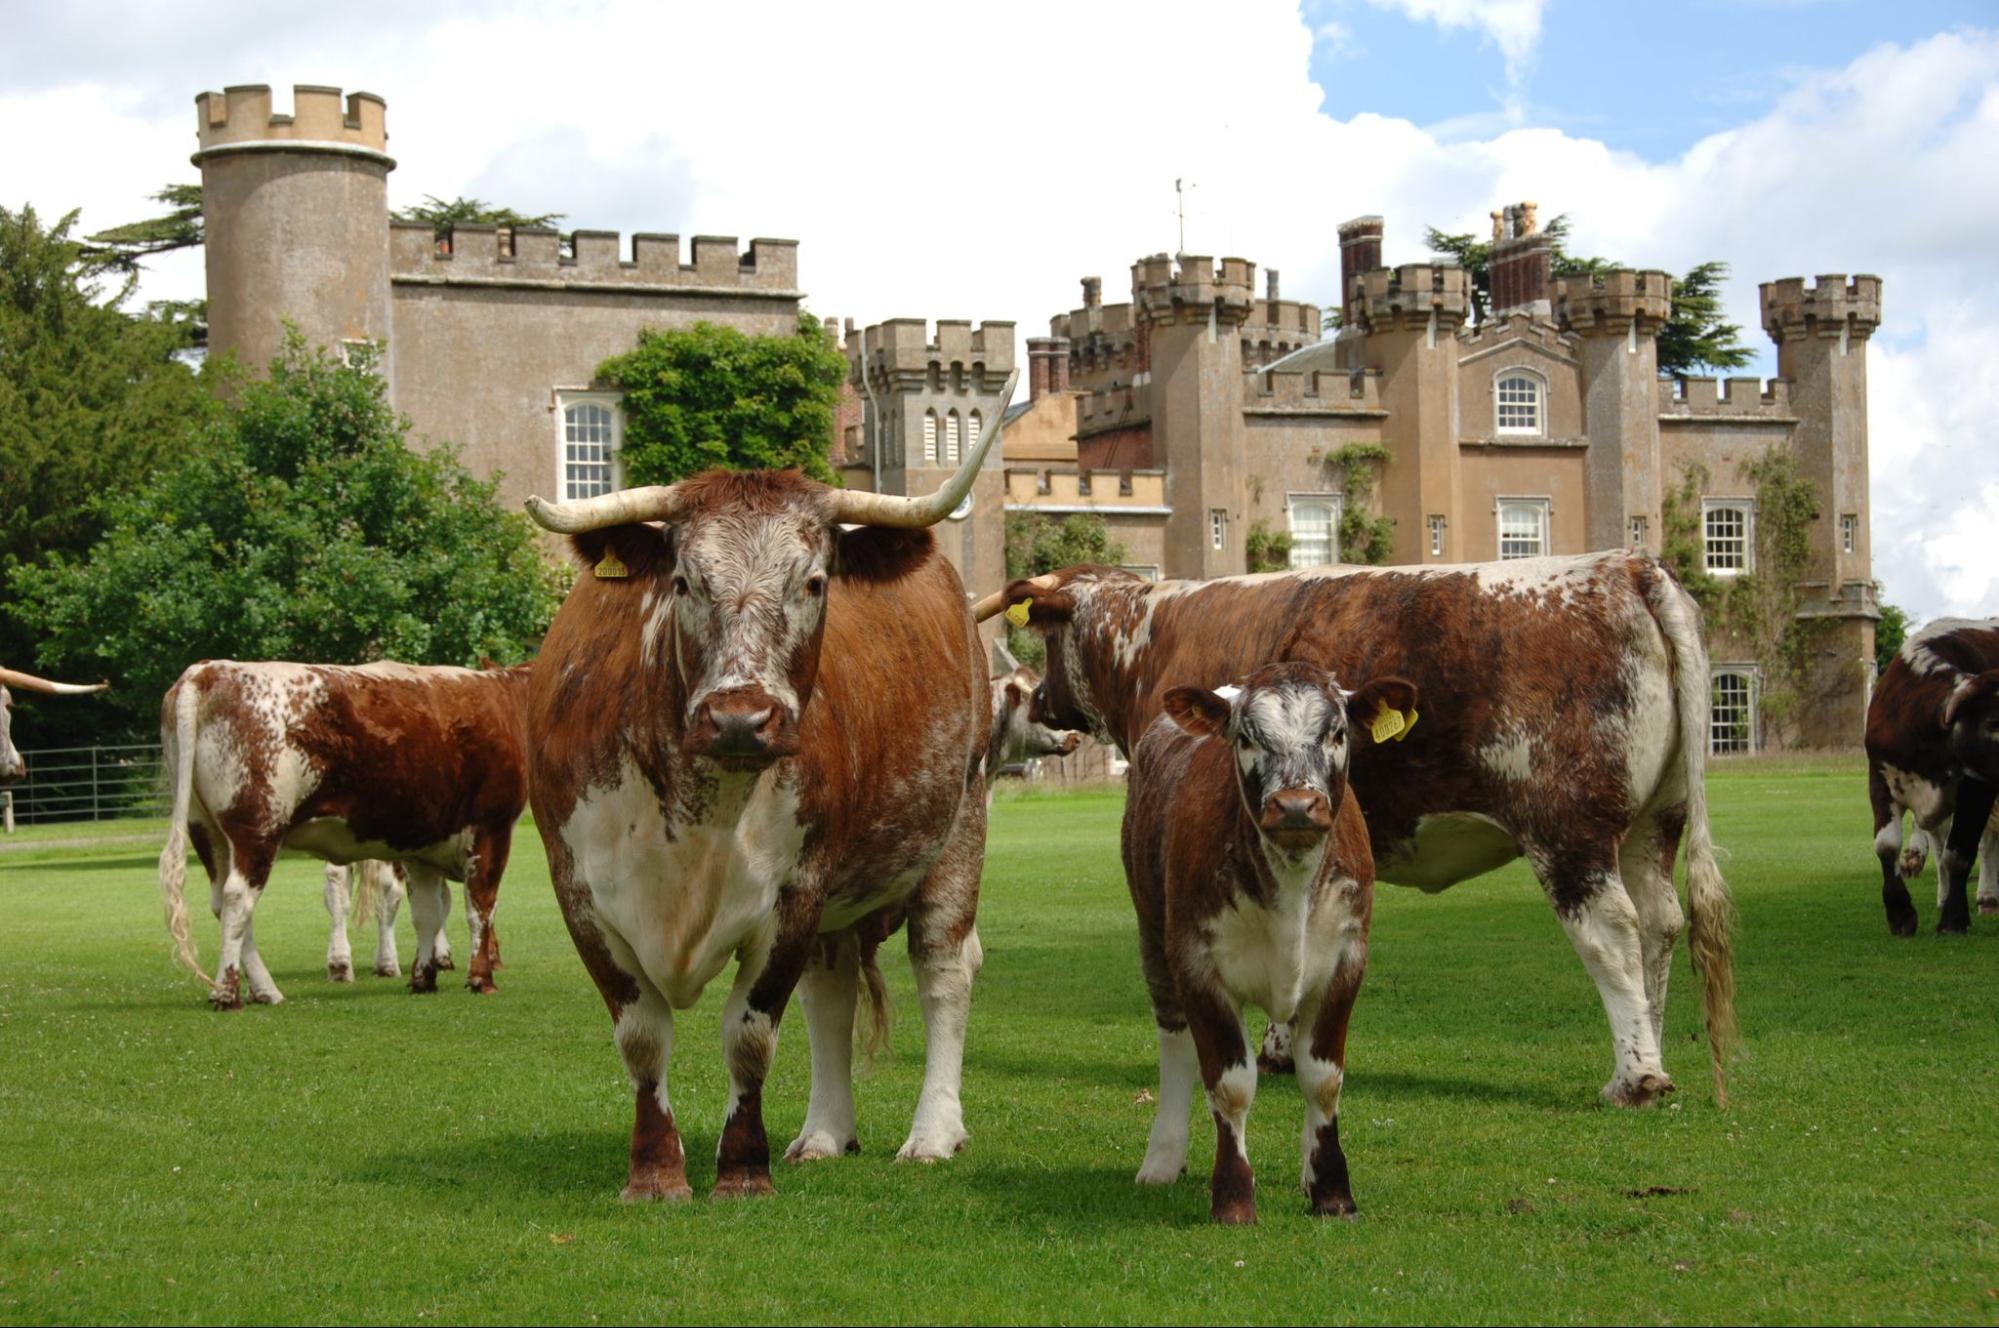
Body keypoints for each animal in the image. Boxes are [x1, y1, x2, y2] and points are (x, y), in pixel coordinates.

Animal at [156, 659, 533, 1008]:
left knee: (224, 903)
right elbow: (481, 906)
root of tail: (209, 670)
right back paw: (228, 993)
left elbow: (427, 912)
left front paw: (424, 978)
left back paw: (263, 990)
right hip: (257, 828)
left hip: (207, 831)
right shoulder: (491, 829)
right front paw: (481, 977)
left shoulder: (422, 847)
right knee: (238, 900)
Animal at [521, 386, 1011, 1203]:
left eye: (813, 583)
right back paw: (824, 1134)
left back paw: (932, 1132)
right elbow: (642, 1036)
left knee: (944, 970)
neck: (700, 815)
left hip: (958, 827)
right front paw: (655, 1173)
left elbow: (749, 1036)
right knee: (831, 988)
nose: (740, 719)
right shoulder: (579, 894)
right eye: (683, 581)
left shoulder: (795, 891)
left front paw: (742, 1170)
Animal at [991, 551, 1738, 1107]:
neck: (1150, 636)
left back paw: (1635, 1076)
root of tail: (1628, 566)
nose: (1042, 700)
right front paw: (1281, 1048)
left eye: (1047, 638)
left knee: (1612, 933)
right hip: (1652, 821)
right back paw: (1654, 1048)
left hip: (1568, 830)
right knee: (1660, 922)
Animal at [1124, 662, 1410, 1224]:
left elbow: (1322, 1078)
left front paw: (1331, 1190)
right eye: (1246, 738)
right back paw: (1164, 1157)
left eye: (1337, 733)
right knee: (1176, 1045)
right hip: (1153, 936)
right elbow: (1230, 1085)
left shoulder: (1347, 960)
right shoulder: (1197, 965)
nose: (1296, 805)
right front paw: (1234, 1197)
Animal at [1866, 618, 1999, 935]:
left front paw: (1954, 918)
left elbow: (1959, 852)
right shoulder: (1879, 777)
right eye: (1992, 721)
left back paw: (1987, 896)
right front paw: (1900, 913)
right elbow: (1887, 845)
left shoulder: (1977, 788)